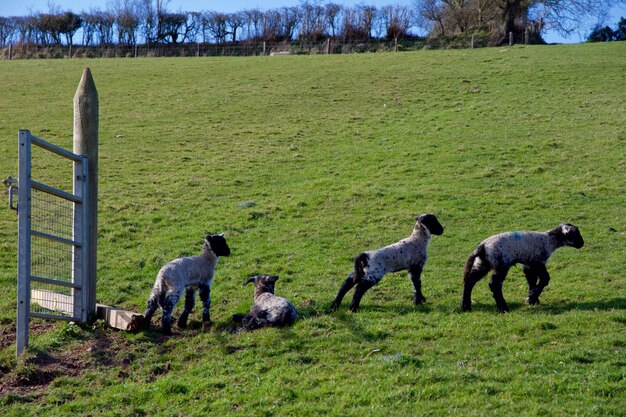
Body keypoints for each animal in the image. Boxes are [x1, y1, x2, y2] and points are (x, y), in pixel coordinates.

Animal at [456, 223, 584, 310]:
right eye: (576, 234)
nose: (582, 244)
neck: (550, 240)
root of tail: (481, 247)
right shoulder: (537, 262)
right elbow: (545, 279)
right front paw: (531, 297)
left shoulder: (528, 264)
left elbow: (531, 280)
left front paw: (533, 300)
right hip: (501, 264)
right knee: (494, 284)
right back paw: (503, 308)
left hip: (482, 263)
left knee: (470, 281)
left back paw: (466, 306)